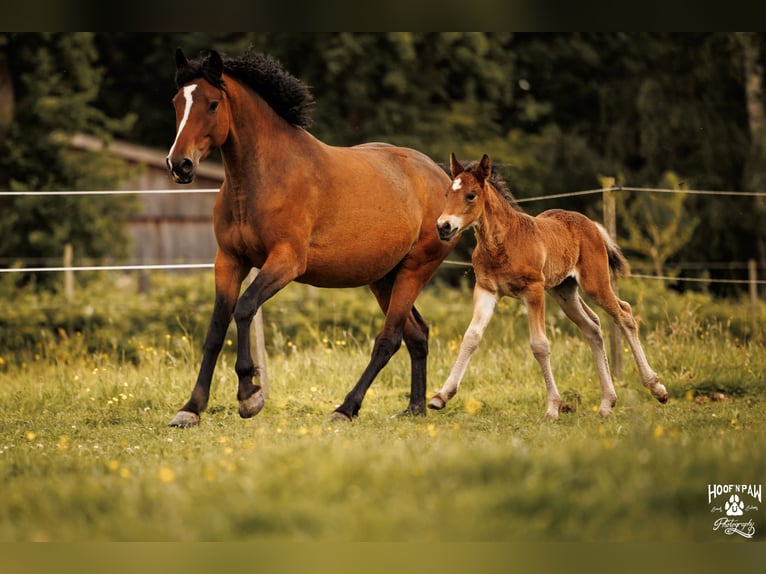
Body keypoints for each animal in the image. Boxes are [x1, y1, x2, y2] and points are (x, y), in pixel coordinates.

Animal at [165, 48, 461, 427]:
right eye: (177, 101)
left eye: (213, 104)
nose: (180, 164)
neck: (264, 178)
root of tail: (441, 175)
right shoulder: (229, 260)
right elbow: (217, 328)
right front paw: (191, 408)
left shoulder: (286, 262)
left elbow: (244, 308)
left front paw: (249, 395)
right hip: (384, 278)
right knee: (417, 334)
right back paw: (414, 409)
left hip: (415, 269)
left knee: (389, 339)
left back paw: (345, 408)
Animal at [429, 153, 668, 419]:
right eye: (447, 194)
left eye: (471, 195)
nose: (443, 227)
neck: (503, 241)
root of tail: (590, 224)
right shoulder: (486, 290)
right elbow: (471, 337)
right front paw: (441, 396)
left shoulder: (533, 290)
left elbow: (540, 345)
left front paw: (553, 407)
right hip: (564, 291)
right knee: (592, 327)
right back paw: (607, 403)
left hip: (595, 284)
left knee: (624, 314)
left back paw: (656, 388)